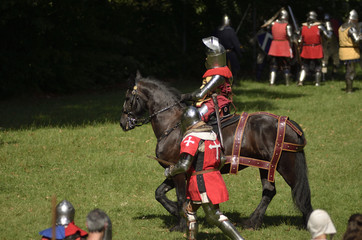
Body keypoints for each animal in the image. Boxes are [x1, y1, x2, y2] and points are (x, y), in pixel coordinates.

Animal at [120, 72, 312, 232]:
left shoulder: (179, 171)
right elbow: (159, 193)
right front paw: (176, 211)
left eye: (128, 98)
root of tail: (287, 122)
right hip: (265, 166)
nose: (123, 123)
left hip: (285, 165)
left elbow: (180, 197)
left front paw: (180, 224)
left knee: (297, 189)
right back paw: (252, 222)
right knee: (269, 191)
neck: (172, 123)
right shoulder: (175, 169)